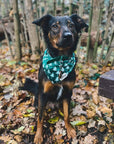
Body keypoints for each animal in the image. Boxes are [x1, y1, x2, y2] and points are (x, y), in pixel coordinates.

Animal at [20, 13, 87, 144]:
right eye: (54, 26)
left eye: (71, 25)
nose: (68, 35)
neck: (60, 61)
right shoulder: (43, 94)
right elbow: (40, 118)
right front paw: (38, 136)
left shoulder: (67, 92)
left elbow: (66, 115)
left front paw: (69, 129)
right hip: (39, 98)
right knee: (41, 111)